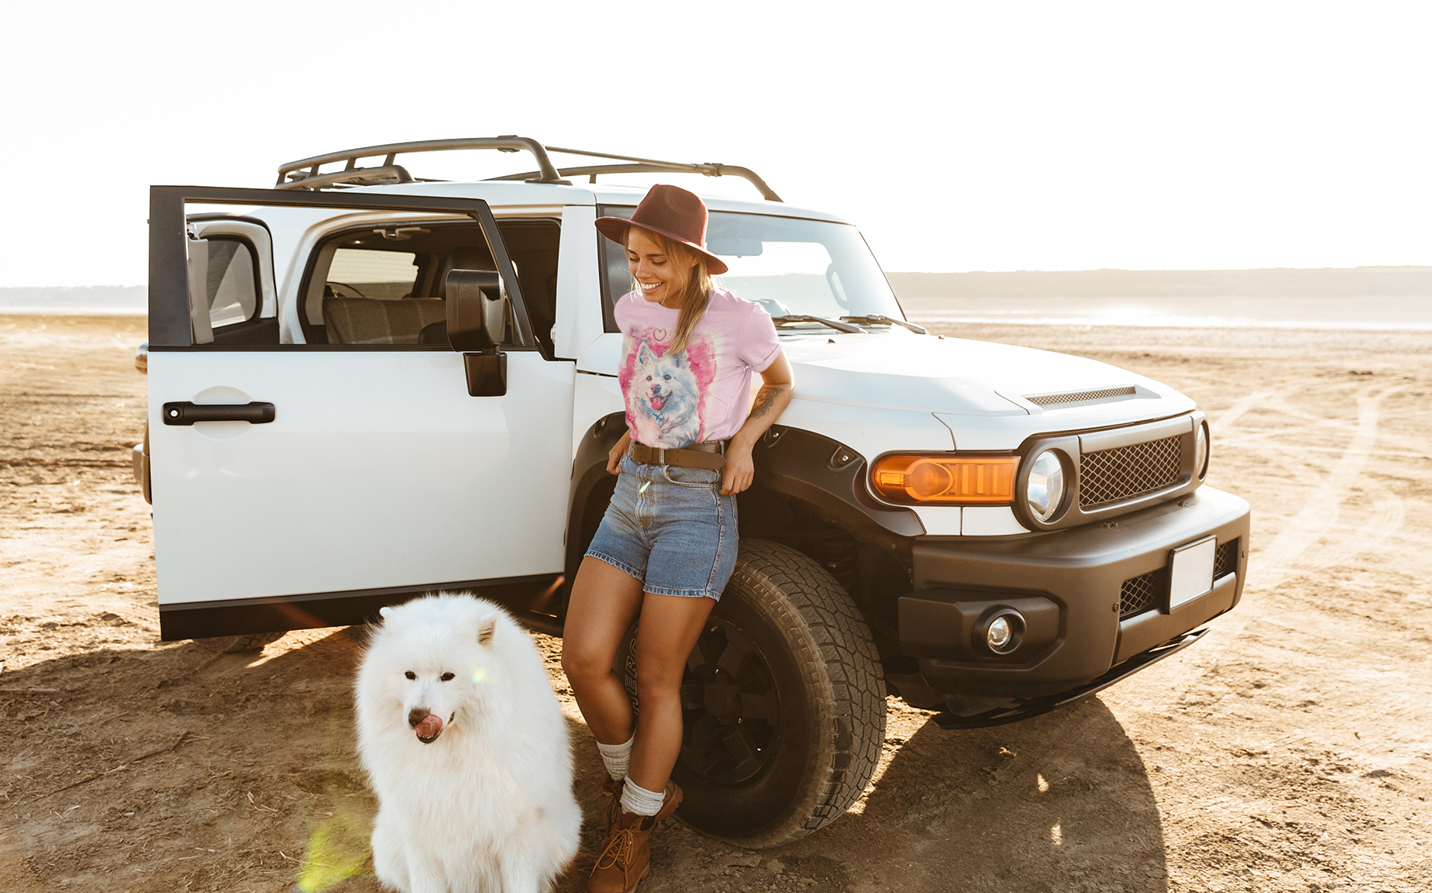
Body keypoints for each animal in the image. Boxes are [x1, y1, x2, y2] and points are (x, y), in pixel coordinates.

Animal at [355, 592, 578, 893]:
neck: (455, 751)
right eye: (409, 675)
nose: (417, 717)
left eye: (447, 676)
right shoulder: (419, 831)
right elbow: (425, 883)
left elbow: (520, 883)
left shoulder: (518, 828)